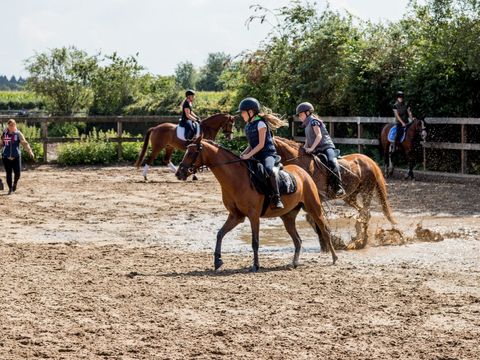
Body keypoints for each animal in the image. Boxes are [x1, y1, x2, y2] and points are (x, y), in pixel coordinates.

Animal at [175, 137, 338, 270]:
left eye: (192, 152)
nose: (179, 173)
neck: (236, 178)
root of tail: (303, 172)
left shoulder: (253, 216)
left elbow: (255, 242)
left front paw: (255, 265)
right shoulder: (236, 216)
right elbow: (220, 234)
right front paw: (217, 261)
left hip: (314, 208)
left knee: (325, 230)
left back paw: (334, 258)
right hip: (288, 217)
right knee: (297, 240)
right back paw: (294, 263)